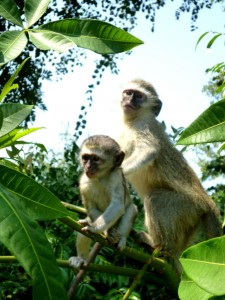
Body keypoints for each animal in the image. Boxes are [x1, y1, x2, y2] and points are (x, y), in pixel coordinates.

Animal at [69, 135, 138, 270]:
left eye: (96, 159)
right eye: (86, 157)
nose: (88, 167)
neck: (100, 177)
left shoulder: (116, 175)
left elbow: (117, 205)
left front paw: (94, 227)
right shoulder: (83, 183)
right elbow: (91, 209)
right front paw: (105, 231)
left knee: (131, 210)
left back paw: (121, 238)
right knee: (82, 231)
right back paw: (81, 259)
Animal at [118, 78, 221, 262]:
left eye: (139, 96)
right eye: (128, 93)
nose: (129, 100)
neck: (131, 122)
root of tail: (207, 203)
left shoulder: (145, 126)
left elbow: (149, 151)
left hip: (187, 206)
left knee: (156, 199)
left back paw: (157, 245)